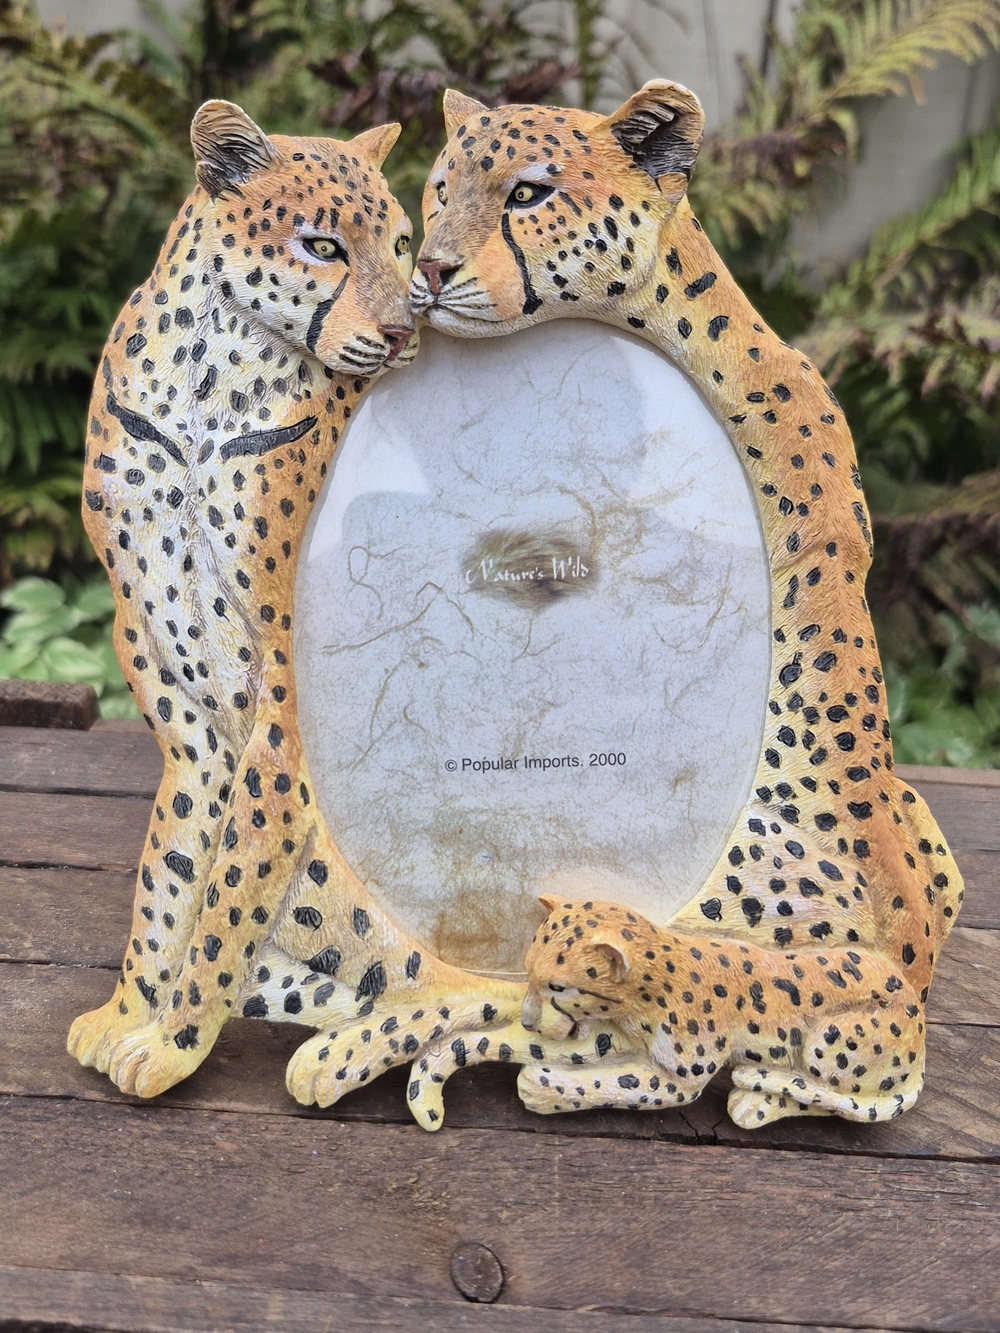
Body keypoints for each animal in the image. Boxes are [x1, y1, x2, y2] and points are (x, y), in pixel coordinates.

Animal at [67, 100, 529, 1104]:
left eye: (401, 242)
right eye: (321, 245)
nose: (401, 331)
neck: (203, 381)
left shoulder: (281, 686)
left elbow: (232, 881)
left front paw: (170, 1042)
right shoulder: (176, 697)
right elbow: (170, 871)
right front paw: (129, 1013)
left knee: (492, 983)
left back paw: (338, 1058)